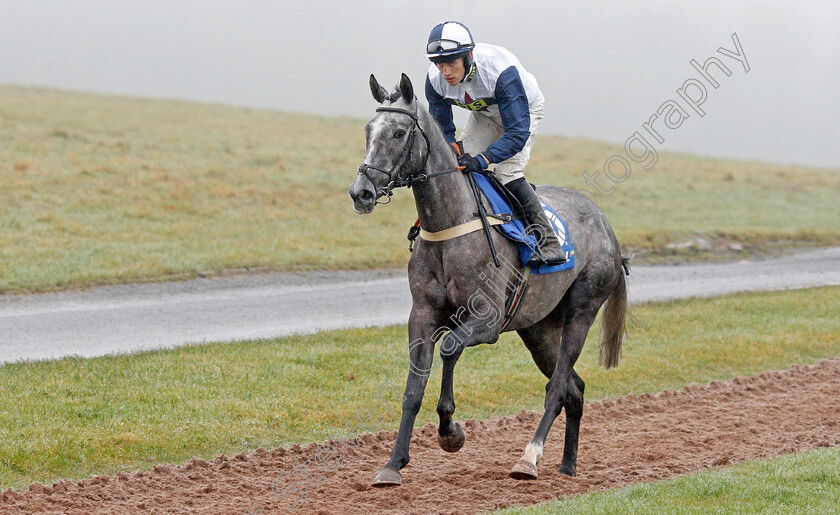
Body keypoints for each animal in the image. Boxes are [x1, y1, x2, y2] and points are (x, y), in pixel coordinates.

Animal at [344, 73, 628, 488]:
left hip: (582, 309)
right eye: (368, 130)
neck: (449, 226)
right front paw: (393, 463)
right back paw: (567, 467)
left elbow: (449, 349)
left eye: (398, 132)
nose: (360, 192)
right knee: (575, 389)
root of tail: (607, 226)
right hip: (539, 328)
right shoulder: (422, 315)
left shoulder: (487, 319)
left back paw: (529, 458)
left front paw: (451, 432)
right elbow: (413, 386)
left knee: (558, 387)